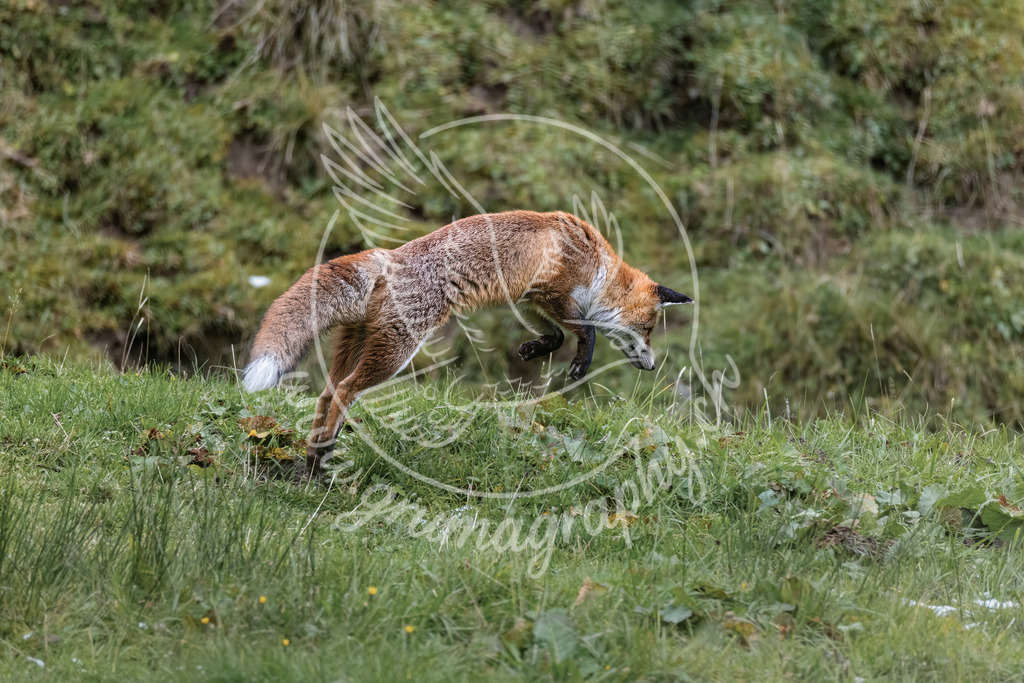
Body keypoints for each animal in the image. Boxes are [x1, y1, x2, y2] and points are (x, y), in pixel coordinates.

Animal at [242, 210, 693, 475]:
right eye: (649, 330)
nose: (652, 366)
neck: (597, 265)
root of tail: (389, 256)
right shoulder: (552, 290)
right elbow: (584, 330)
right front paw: (581, 362)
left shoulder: (528, 298)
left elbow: (557, 332)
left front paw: (534, 350)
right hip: (396, 352)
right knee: (345, 391)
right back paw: (322, 456)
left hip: (359, 348)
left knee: (326, 393)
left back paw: (315, 458)